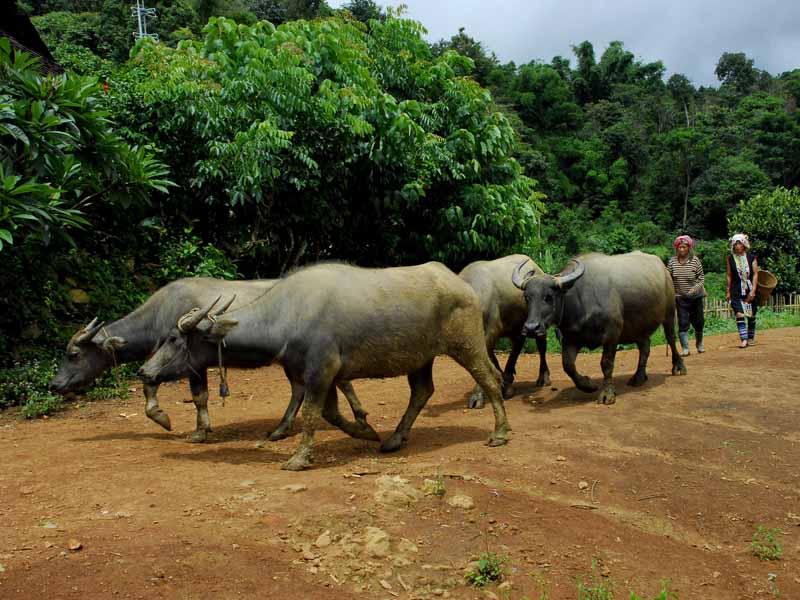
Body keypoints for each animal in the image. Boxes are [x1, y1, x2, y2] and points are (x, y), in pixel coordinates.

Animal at [48, 278, 374, 442]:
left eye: (73, 354)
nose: (54, 384)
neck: (160, 314)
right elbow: (152, 381)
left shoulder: (191, 363)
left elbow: (192, 395)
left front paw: (182, 425)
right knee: (313, 386)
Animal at [138, 262, 510, 474]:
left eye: (174, 338)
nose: (144, 372)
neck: (288, 313)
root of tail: (462, 285)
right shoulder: (321, 374)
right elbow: (331, 414)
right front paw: (366, 431)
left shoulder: (321, 370)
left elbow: (312, 413)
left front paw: (298, 458)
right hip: (420, 358)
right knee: (422, 391)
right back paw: (394, 438)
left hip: (468, 344)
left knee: (490, 379)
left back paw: (500, 433)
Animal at [462, 253, 552, 408]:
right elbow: (491, 359)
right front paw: (501, 383)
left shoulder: (491, 329)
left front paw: (477, 396)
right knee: (517, 344)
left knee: (540, 345)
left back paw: (543, 378)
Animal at [512, 251, 688, 406]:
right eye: (527, 298)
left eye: (548, 297)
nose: (531, 328)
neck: (580, 300)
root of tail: (664, 270)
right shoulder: (571, 338)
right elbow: (568, 365)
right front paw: (588, 385)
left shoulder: (612, 334)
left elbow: (606, 364)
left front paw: (607, 393)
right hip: (639, 326)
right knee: (645, 347)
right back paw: (638, 377)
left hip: (669, 314)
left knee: (671, 338)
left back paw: (679, 367)